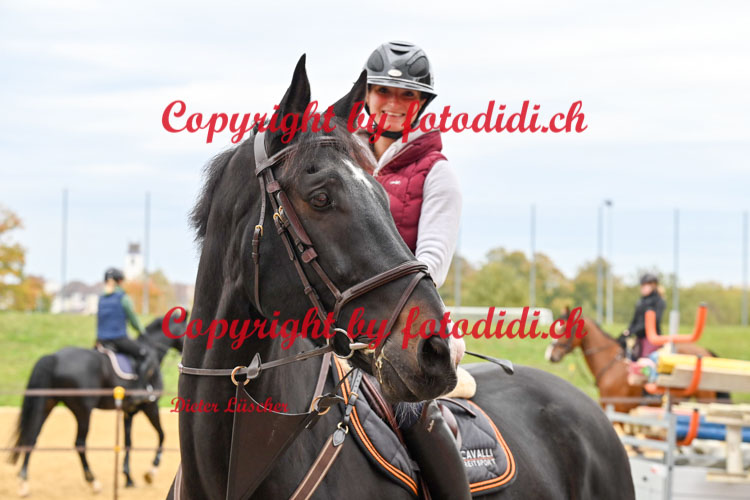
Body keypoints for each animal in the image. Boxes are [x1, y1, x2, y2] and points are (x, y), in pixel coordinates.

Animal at [9, 313, 185, 496]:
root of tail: (55, 357)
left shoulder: (129, 411)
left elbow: (128, 443)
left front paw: (128, 478)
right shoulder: (150, 406)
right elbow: (162, 435)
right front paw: (151, 472)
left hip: (47, 405)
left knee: (32, 436)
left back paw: (23, 482)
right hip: (83, 412)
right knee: (79, 444)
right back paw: (93, 481)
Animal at [545, 311, 724, 412]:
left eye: (564, 328)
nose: (551, 355)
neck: (611, 363)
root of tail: (705, 352)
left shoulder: (618, 409)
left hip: (705, 399)